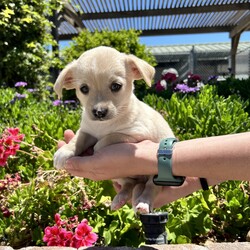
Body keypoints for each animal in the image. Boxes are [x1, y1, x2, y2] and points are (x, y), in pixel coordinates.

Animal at [53, 46, 174, 214]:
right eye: (84, 89)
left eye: (116, 86)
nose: (99, 112)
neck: (104, 125)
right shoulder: (87, 130)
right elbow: (78, 139)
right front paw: (64, 151)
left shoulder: (136, 134)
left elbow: (110, 137)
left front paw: (97, 147)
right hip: (121, 176)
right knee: (129, 184)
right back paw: (119, 199)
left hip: (156, 176)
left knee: (150, 187)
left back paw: (143, 203)